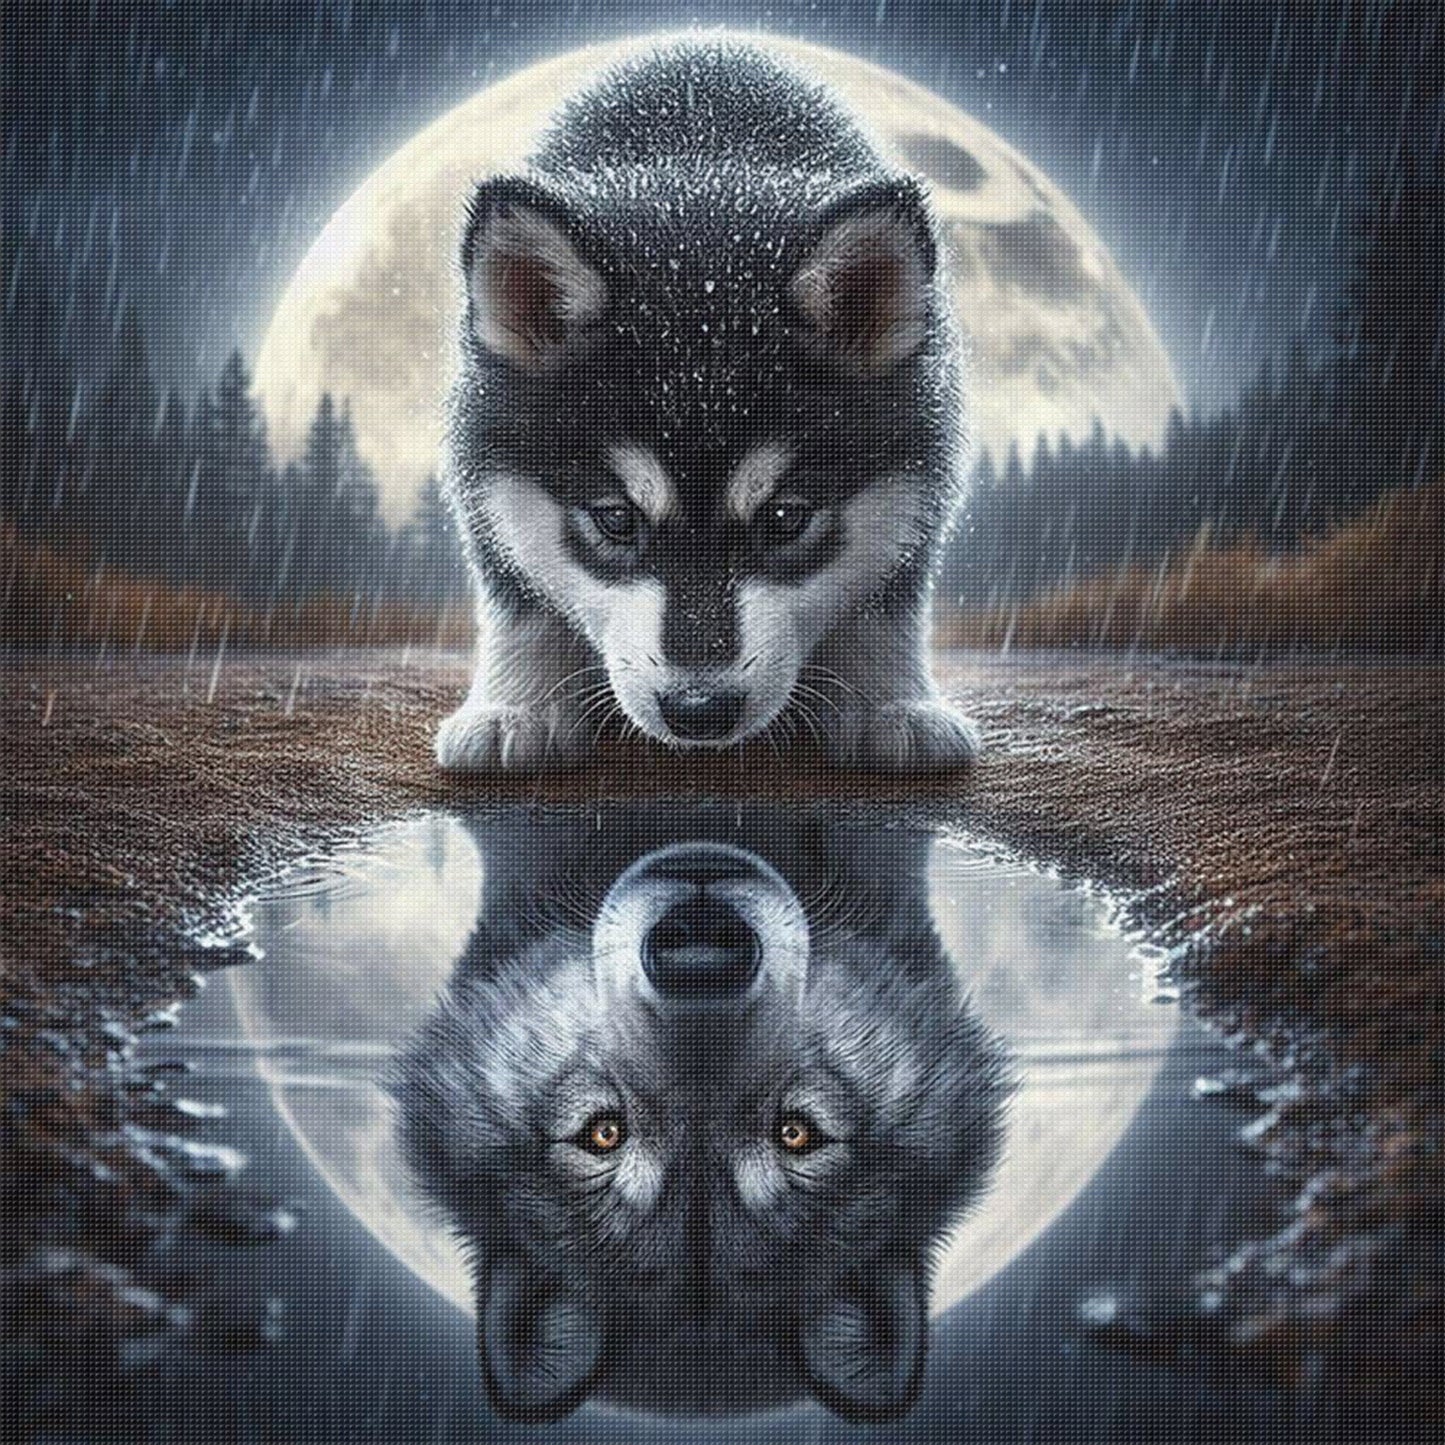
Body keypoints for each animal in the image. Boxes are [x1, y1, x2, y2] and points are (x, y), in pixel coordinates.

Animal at [435, 40, 978, 772]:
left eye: (784, 517)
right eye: (614, 518)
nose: (699, 710)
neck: (700, 180)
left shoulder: (919, 478)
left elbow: (883, 609)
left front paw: (891, 704)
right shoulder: (487, 484)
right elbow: (522, 607)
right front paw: (514, 706)